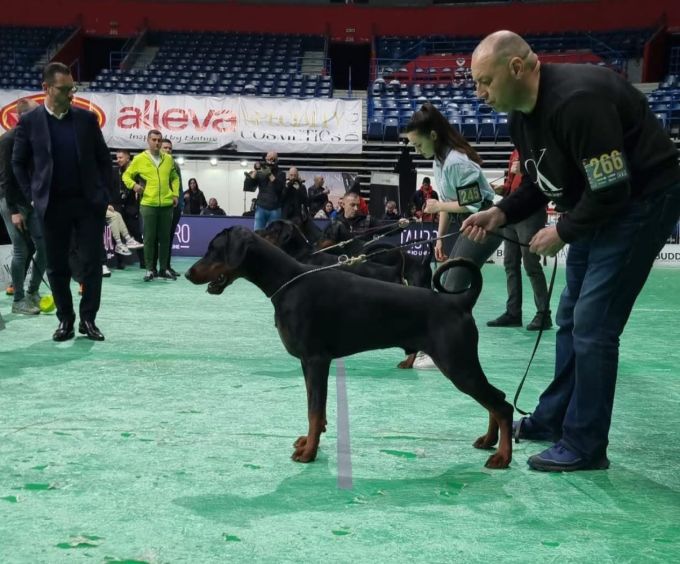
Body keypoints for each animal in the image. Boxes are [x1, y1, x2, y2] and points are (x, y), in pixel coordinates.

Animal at [186, 226, 513, 469]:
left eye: (214, 249)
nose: (188, 274)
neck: (288, 282)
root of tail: (461, 302)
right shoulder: (308, 362)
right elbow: (313, 407)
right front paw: (310, 442)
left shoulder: (316, 359)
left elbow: (314, 409)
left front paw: (308, 453)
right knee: (497, 399)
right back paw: (488, 442)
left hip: (458, 364)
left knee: (502, 404)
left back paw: (502, 457)